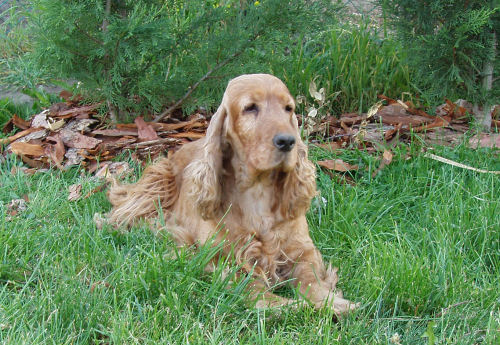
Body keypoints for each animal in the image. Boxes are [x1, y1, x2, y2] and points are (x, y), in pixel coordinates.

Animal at [108, 73, 360, 314]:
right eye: (251, 107)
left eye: (288, 108)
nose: (288, 141)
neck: (258, 190)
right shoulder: (219, 255)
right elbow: (249, 284)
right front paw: (278, 305)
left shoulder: (302, 248)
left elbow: (310, 278)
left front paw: (330, 302)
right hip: (157, 181)